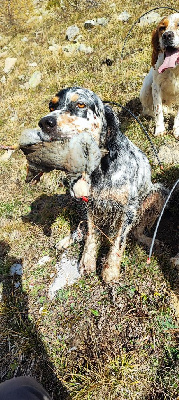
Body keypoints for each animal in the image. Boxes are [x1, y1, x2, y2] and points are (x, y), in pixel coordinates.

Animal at [19, 86, 166, 282]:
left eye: (81, 104)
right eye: (52, 106)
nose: (45, 122)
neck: (100, 168)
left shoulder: (128, 209)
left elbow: (119, 241)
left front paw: (110, 271)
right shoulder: (89, 204)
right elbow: (90, 233)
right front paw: (86, 262)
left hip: (159, 192)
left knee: (135, 232)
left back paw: (150, 241)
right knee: (82, 228)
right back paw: (66, 241)